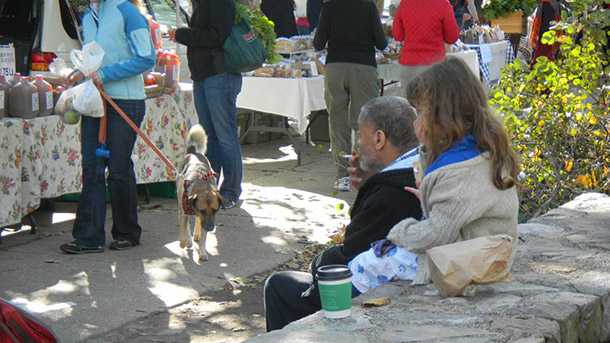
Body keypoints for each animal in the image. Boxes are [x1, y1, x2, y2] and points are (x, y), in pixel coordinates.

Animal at [175, 125, 222, 262]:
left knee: (197, 221)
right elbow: (184, 230)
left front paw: (202, 252)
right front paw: (184, 242)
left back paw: (196, 234)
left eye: (215, 210)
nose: (211, 228)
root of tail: (193, 151)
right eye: (202, 210)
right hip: (181, 204)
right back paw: (189, 240)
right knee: (187, 223)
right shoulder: (185, 212)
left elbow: (203, 238)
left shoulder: (205, 219)